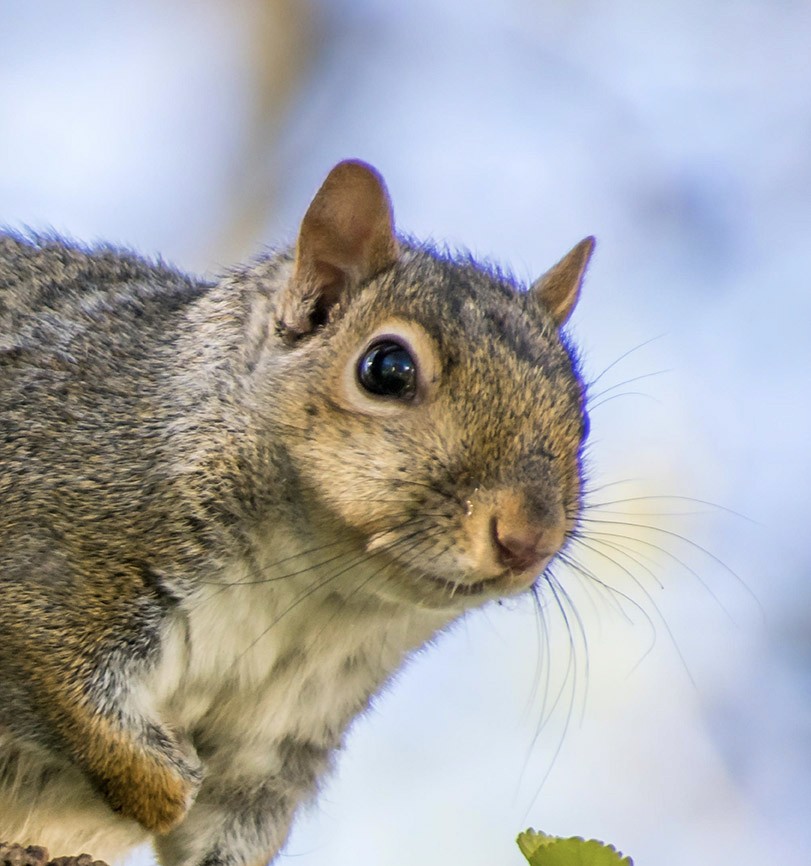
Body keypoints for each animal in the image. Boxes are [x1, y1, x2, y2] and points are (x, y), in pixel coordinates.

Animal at [0, 159, 596, 860]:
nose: (530, 538)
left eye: (582, 419)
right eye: (387, 368)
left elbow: (231, 826)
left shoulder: (280, 738)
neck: (313, 592)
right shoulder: (51, 537)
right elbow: (65, 686)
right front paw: (167, 786)